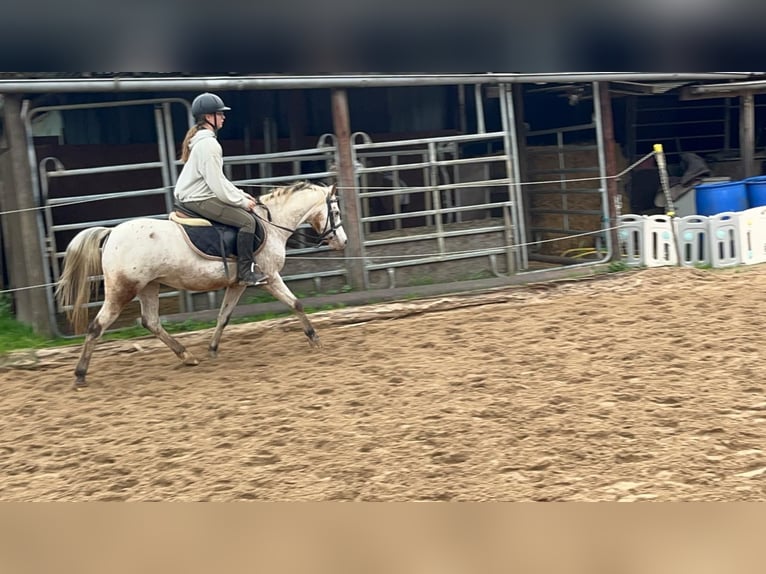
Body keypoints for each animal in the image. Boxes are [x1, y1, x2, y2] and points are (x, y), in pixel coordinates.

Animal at [55, 181, 348, 388]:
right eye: (334, 211)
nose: (342, 241)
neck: (272, 225)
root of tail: (112, 232)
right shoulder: (270, 277)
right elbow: (296, 303)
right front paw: (315, 339)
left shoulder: (238, 284)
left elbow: (223, 317)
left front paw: (212, 349)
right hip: (122, 290)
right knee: (97, 327)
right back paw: (80, 375)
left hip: (149, 287)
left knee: (151, 322)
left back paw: (187, 356)